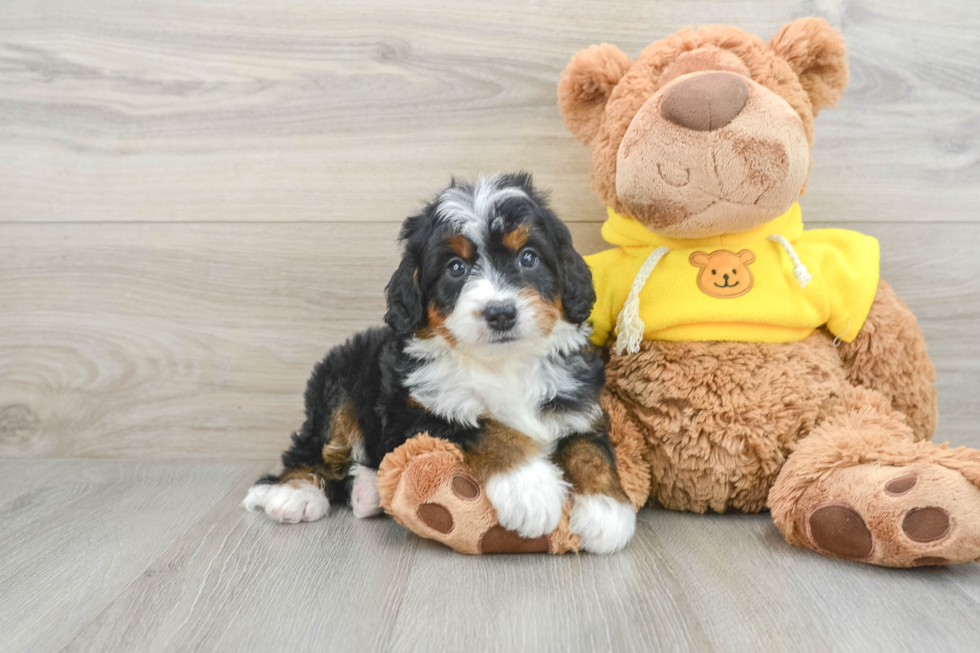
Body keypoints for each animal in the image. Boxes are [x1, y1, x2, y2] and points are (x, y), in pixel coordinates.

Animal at [245, 172, 636, 552]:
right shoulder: (414, 413)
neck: (502, 363)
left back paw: (367, 491)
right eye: (456, 267)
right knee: (313, 445)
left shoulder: (576, 399)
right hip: (339, 379)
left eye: (528, 258)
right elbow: (486, 426)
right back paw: (294, 492)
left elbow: (588, 446)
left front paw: (606, 509)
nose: (500, 313)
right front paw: (529, 487)